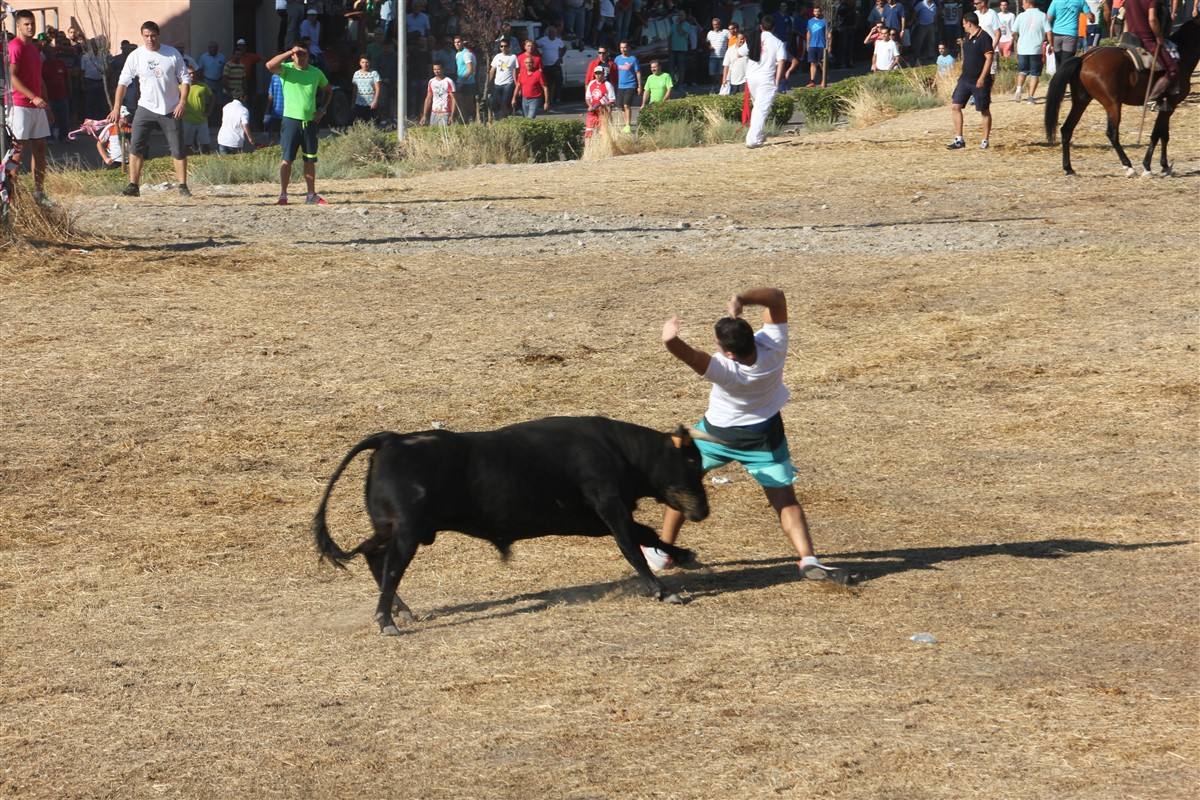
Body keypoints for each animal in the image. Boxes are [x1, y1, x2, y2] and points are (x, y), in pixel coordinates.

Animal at [312, 417, 710, 633]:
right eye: (692, 463)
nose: (703, 510)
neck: (619, 450)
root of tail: (391, 438)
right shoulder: (609, 507)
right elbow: (631, 547)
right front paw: (662, 590)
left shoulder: (597, 518)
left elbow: (645, 534)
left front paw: (684, 554)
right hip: (407, 531)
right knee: (391, 564)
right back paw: (387, 619)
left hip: (392, 529)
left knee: (373, 555)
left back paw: (400, 610)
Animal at [1041, 21, 1200, 177]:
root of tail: (1084, 58)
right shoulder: (1171, 104)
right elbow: (1157, 134)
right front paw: (1148, 166)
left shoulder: (1168, 106)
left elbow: (1163, 134)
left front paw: (1164, 166)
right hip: (1113, 104)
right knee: (1112, 133)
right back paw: (1128, 166)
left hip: (1081, 101)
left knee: (1067, 129)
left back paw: (1069, 168)